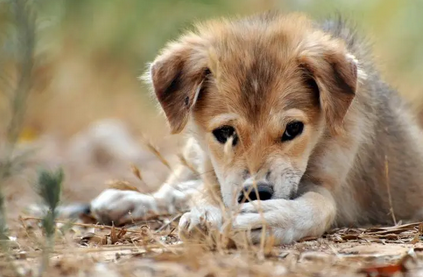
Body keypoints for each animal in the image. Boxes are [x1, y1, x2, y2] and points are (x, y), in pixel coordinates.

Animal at [90, 11, 423, 243]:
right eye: (225, 133)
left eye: (293, 129)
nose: (257, 193)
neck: (319, 142)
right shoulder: (212, 164)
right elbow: (209, 190)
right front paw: (204, 213)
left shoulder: (332, 185)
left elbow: (319, 205)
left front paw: (268, 221)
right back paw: (128, 200)